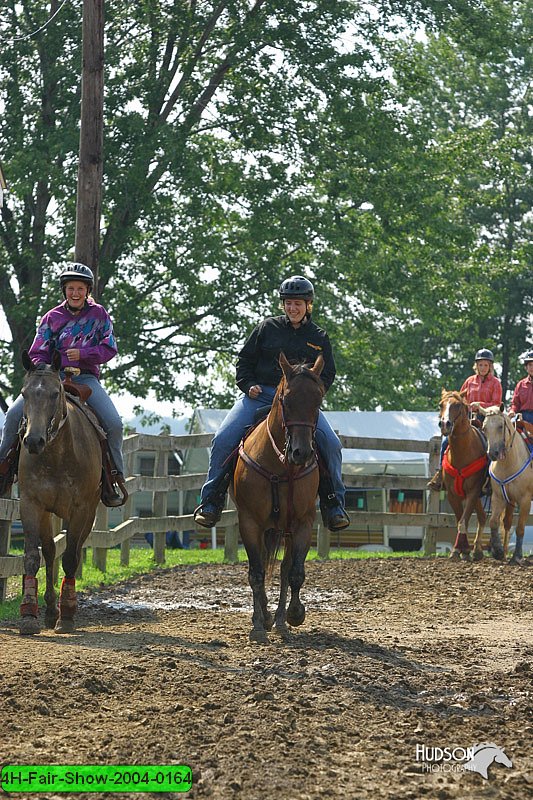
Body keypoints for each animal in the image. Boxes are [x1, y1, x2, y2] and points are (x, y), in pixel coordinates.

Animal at [17, 354, 101, 636]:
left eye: (55, 394)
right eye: (24, 393)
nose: (33, 441)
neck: (56, 456)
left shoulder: (81, 509)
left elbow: (71, 558)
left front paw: (67, 617)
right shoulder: (31, 505)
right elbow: (33, 557)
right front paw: (28, 615)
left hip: (90, 513)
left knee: (71, 553)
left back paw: (62, 611)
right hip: (47, 514)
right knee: (50, 551)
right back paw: (50, 611)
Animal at [233, 354, 324, 644]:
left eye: (318, 400)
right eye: (286, 399)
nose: (301, 452)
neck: (280, 467)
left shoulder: (303, 522)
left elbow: (294, 572)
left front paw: (294, 614)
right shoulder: (249, 522)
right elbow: (256, 572)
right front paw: (258, 625)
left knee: (283, 568)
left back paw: (281, 619)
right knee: (263, 565)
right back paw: (266, 615)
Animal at [436, 390, 486, 560]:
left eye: (457, 405)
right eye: (441, 405)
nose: (445, 424)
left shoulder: (473, 492)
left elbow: (463, 521)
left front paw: (461, 549)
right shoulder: (452, 494)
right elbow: (460, 519)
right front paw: (461, 549)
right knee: (482, 518)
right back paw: (477, 550)